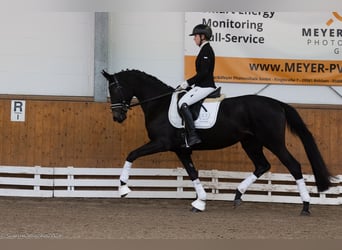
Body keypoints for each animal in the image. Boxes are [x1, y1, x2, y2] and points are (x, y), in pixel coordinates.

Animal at [101, 69, 332, 215]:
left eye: (115, 89)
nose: (117, 117)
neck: (160, 104)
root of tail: (277, 103)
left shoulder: (162, 143)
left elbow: (131, 154)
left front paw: (123, 188)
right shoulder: (181, 150)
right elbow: (192, 172)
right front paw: (200, 202)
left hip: (273, 142)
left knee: (293, 165)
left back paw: (305, 206)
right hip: (250, 143)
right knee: (262, 165)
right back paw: (238, 195)